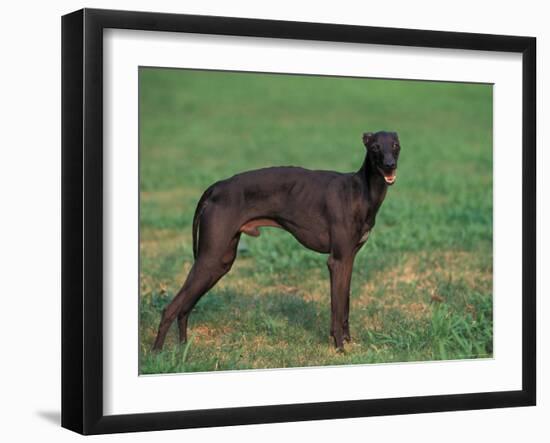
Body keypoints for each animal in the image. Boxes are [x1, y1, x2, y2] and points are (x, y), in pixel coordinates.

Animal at [153, 130, 404, 352]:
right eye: (375, 147)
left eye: (395, 145)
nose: (390, 165)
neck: (360, 192)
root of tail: (215, 187)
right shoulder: (337, 261)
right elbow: (337, 307)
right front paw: (340, 347)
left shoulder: (349, 259)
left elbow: (346, 305)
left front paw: (348, 342)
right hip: (209, 258)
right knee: (170, 309)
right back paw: (157, 353)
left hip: (220, 262)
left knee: (185, 308)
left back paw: (183, 348)